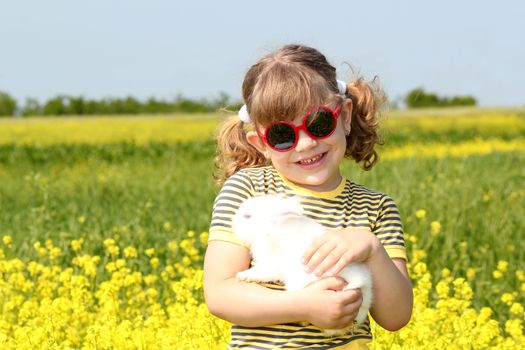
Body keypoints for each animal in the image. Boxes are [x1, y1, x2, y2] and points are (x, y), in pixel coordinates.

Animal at [233, 196, 372, 334]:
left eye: (247, 216)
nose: (232, 221)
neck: (270, 230)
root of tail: (359, 281)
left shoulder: (270, 264)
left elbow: (261, 273)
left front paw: (243, 275)